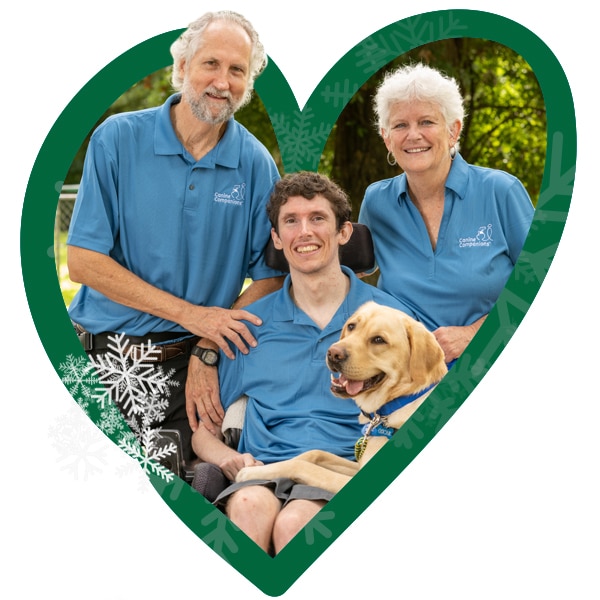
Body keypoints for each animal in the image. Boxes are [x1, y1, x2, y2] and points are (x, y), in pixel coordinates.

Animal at [234, 302, 446, 494]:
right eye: (351, 326)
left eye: (379, 339)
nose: (333, 353)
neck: (398, 401)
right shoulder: (357, 465)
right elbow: (314, 453)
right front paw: (261, 466)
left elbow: (302, 466)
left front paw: (250, 472)